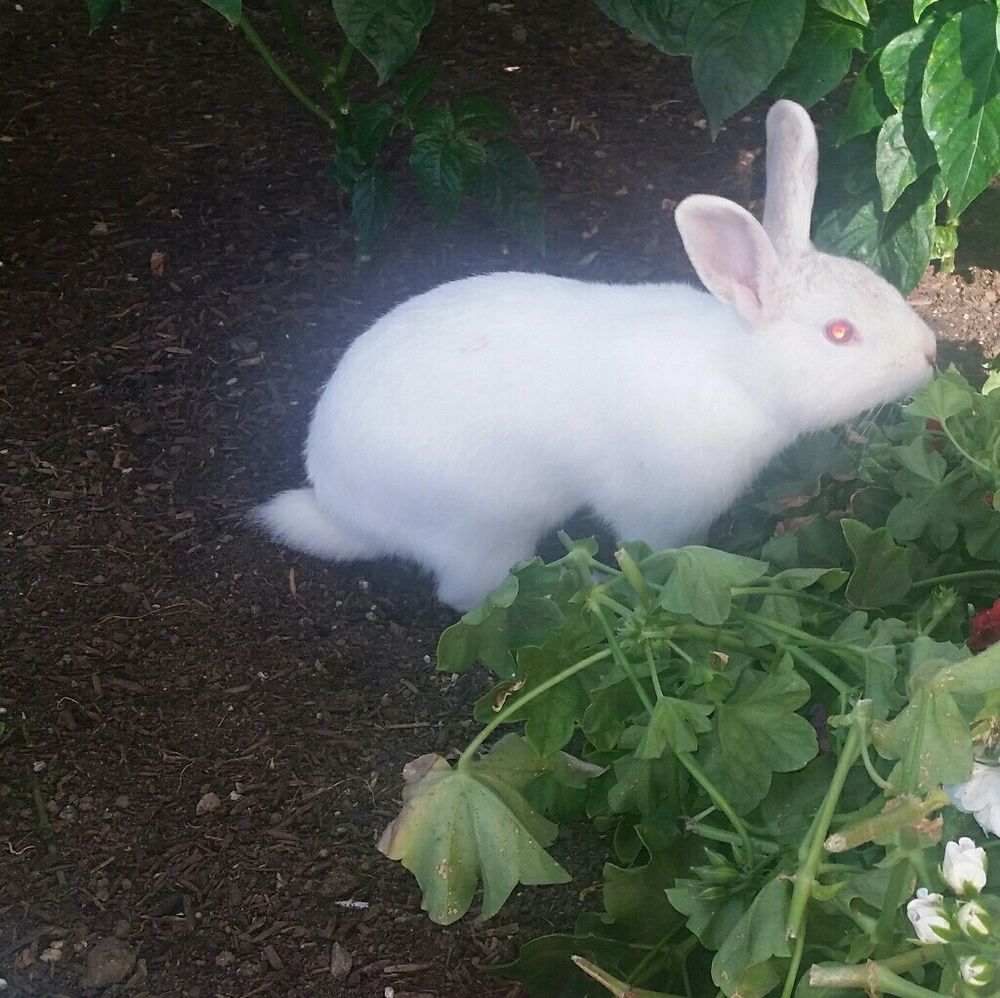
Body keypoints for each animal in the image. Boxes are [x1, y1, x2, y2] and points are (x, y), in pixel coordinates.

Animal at [253, 100, 937, 611]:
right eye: (840, 333)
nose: (930, 353)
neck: (736, 374)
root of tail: (340, 507)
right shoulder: (651, 507)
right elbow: (654, 545)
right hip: (481, 530)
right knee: (471, 595)